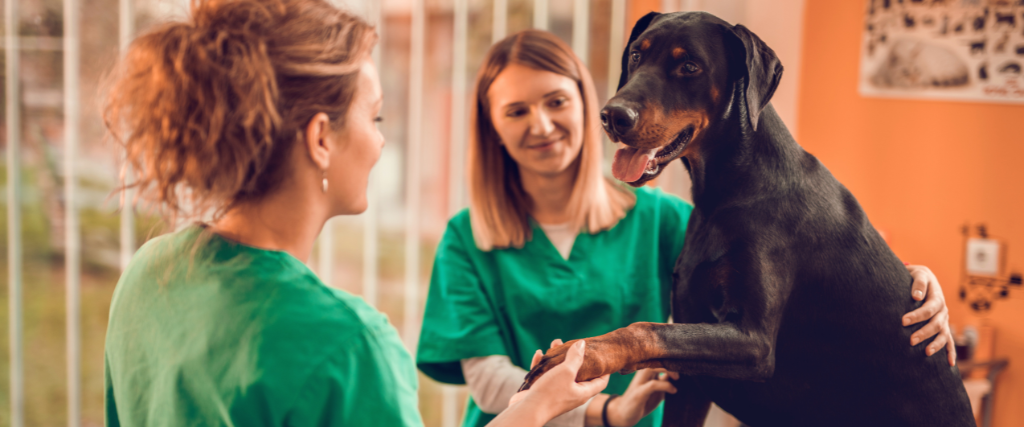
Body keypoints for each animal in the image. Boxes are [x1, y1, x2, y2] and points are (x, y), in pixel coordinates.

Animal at [524, 11, 970, 423]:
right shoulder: (687, 375)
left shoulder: (753, 344)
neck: (725, 193)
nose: (612, 116)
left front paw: (578, 353)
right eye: (636, 55)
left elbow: (644, 328)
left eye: (690, 66)